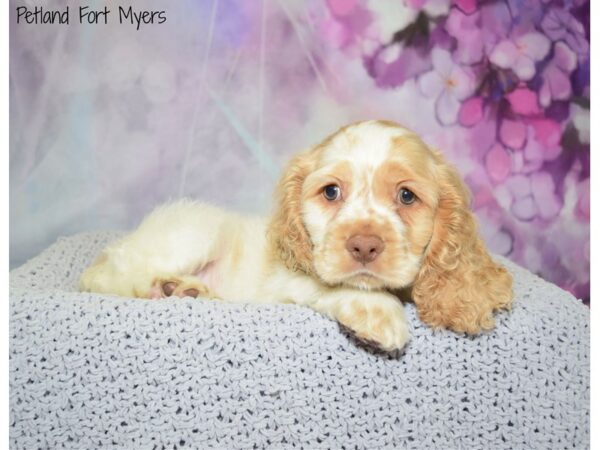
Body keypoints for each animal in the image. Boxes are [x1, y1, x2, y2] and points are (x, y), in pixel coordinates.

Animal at [78, 119, 510, 352]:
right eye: (331, 192)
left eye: (407, 196)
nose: (364, 245)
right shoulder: (285, 282)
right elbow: (331, 285)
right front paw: (380, 313)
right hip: (194, 232)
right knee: (108, 278)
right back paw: (165, 288)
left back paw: (188, 290)